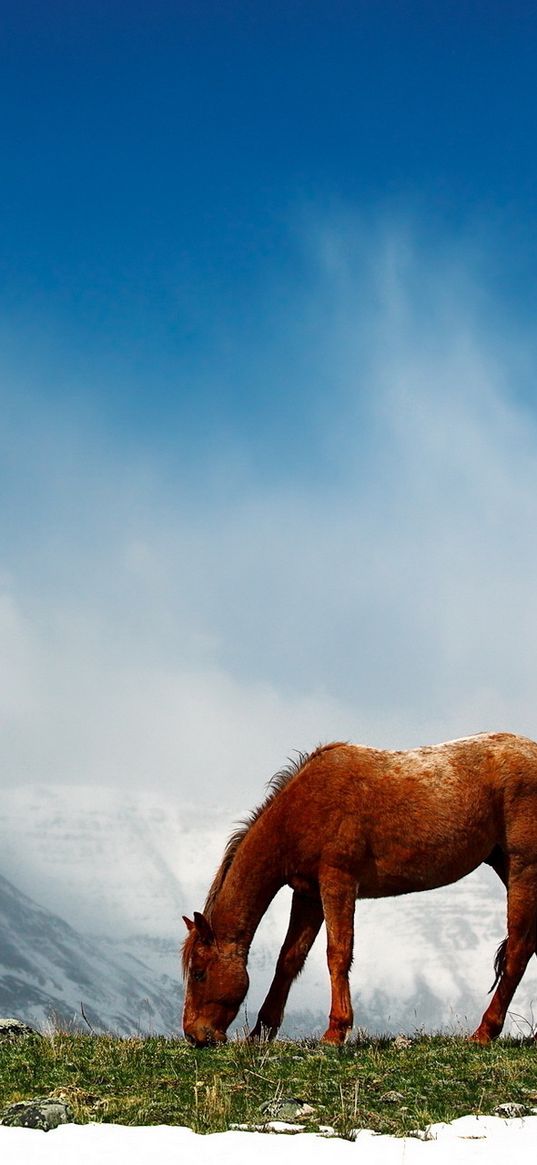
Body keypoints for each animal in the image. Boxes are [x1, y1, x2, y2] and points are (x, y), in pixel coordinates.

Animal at [180, 726, 535, 1048]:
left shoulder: (337, 882)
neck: (301, 808)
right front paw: (261, 1032)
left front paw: (336, 1031)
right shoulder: (308, 894)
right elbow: (289, 959)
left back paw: (484, 1032)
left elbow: (337, 953)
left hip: (523, 868)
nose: (194, 1035)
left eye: (199, 973)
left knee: (518, 949)